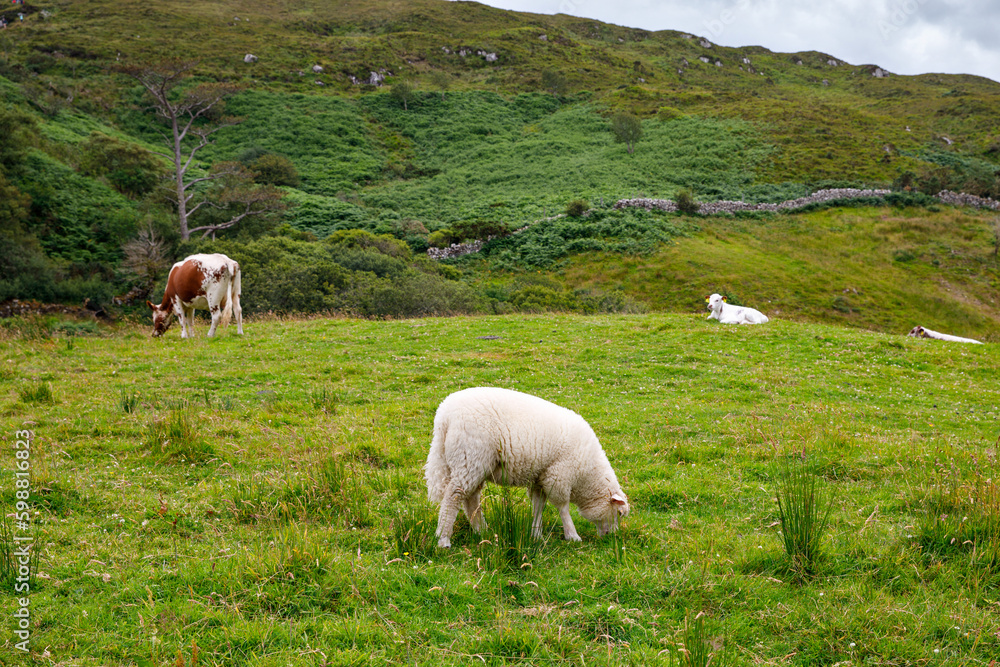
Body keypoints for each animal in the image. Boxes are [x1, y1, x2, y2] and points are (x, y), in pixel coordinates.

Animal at [425, 387, 629, 548]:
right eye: (619, 513)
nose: (611, 537)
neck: (586, 475)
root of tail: (444, 416)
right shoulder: (558, 476)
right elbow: (563, 508)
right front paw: (572, 535)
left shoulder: (541, 477)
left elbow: (539, 506)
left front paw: (536, 534)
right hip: (470, 457)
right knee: (453, 497)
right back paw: (444, 539)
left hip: (475, 464)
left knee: (471, 499)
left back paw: (482, 530)